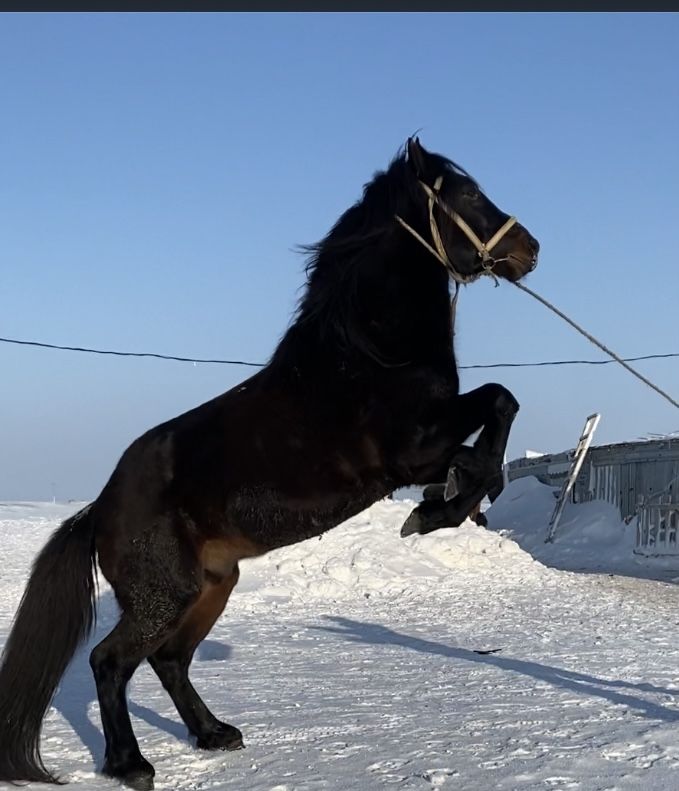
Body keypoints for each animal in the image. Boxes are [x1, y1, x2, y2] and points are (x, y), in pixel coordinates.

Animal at [0, 139, 540, 788]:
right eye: (466, 194)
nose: (530, 249)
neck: (369, 354)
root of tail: (99, 508)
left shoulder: (427, 446)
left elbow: (499, 409)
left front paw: (448, 507)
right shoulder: (415, 454)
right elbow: (489, 424)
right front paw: (435, 515)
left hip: (214, 586)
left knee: (169, 659)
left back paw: (214, 734)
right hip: (166, 595)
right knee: (111, 661)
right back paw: (131, 764)